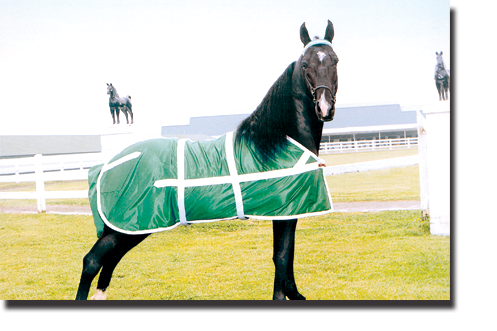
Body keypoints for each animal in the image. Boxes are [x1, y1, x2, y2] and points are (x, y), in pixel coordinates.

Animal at [76, 20, 338, 300]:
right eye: (305, 64)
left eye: (335, 59)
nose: (324, 107)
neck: (276, 141)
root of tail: (105, 166)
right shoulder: (283, 212)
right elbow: (281, 255)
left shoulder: (291, 211)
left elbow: (288, 255)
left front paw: (295, 294)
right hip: (127, 225)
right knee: (92, 261)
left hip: (132, 227)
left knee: (110, 260)